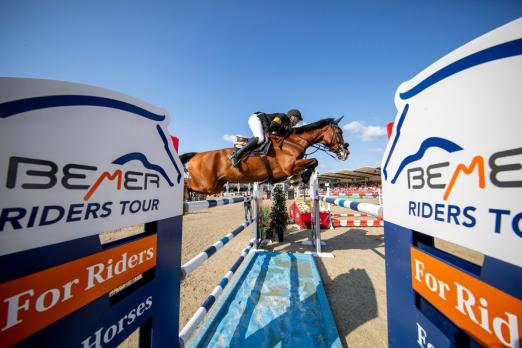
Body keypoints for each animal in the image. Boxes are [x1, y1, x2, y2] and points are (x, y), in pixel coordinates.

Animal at [180, 115, 350, 194]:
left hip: (216, 186)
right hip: (205, 185)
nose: (346, 152)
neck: (293, 142)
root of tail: (196, 155)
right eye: (339, 132)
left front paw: (296, 180)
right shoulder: (290, 167)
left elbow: (311, 164)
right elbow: (314, 161)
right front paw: (302, 179)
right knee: (186, 185)